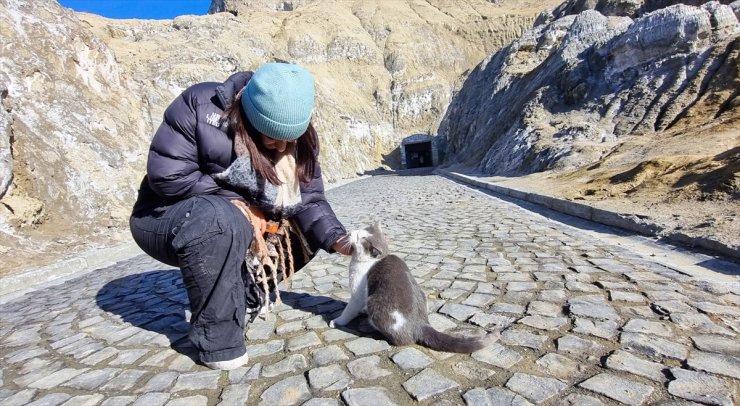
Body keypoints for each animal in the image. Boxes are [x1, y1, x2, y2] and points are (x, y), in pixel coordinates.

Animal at [330, 222, 498, 352]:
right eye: (359, 230)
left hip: (375, 302)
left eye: (359, 238)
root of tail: (421, 324)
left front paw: (337, 321)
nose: (351, 232)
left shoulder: (358, 294)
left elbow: (350, 310)